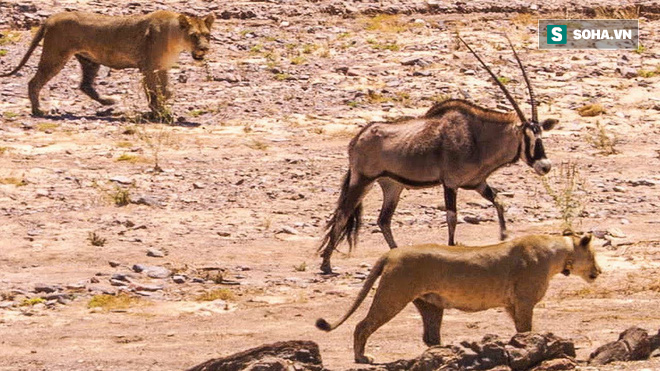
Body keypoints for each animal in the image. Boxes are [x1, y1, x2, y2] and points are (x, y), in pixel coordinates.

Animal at [320, 36, 556, 274]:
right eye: (528, 137)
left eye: (541, 135)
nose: (545, 166)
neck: (477, 136)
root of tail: (359, 137)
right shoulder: (450, 183)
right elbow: (452, 217)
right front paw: (452, 249)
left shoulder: (477, 183)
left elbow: (499, 202)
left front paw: (503, 237)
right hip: (363, 180)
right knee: (343, 214)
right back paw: (326, 264)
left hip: (392, 185)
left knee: (383, 220)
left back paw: (396, 253)